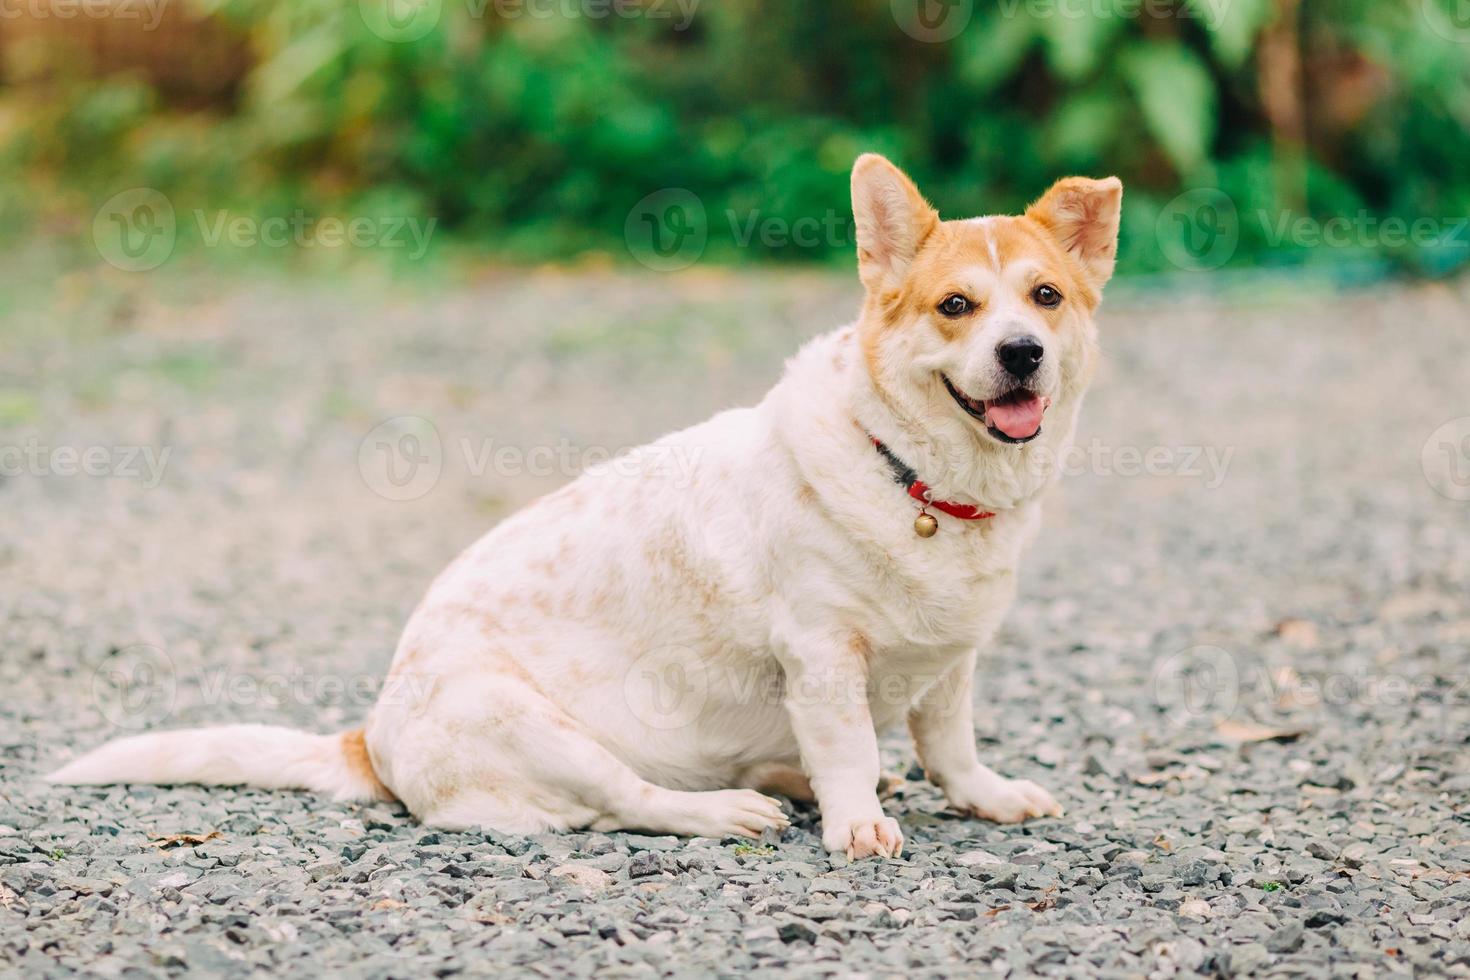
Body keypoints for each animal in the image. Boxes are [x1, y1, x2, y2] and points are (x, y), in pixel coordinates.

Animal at [51, 157, 1117, 863]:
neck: (919, 480)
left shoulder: (951, 663)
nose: (1022, 353)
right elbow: (849, 746)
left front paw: (983, 796)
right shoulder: (820, 657)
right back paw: (731, 809)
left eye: (1045, 297)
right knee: (628, 801)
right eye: (954, 307)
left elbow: (950, 746)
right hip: (540, 729)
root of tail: (372, 735)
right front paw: (858, 822)